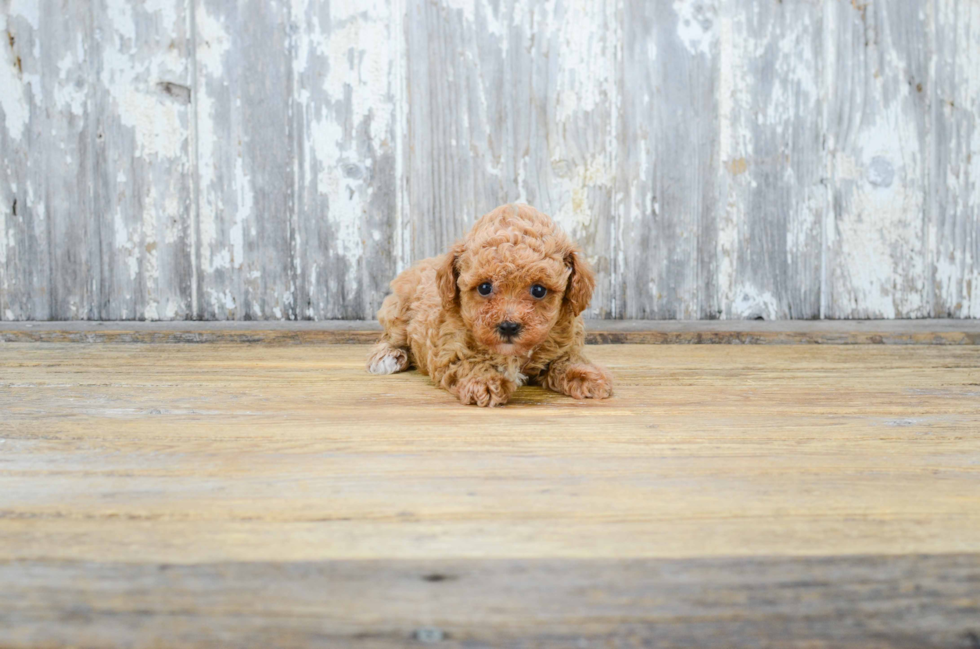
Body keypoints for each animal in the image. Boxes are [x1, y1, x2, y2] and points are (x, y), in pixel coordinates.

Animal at [368, 202, 612, 404]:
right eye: (484, 288)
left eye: (539, 290)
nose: (509, 327)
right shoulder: (449, 350)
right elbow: (469, 363)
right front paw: (485, 382)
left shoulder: (562, 344)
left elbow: (566, 360)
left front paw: (585, 375)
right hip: (399, 310)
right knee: (391, 337)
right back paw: (388, 357)